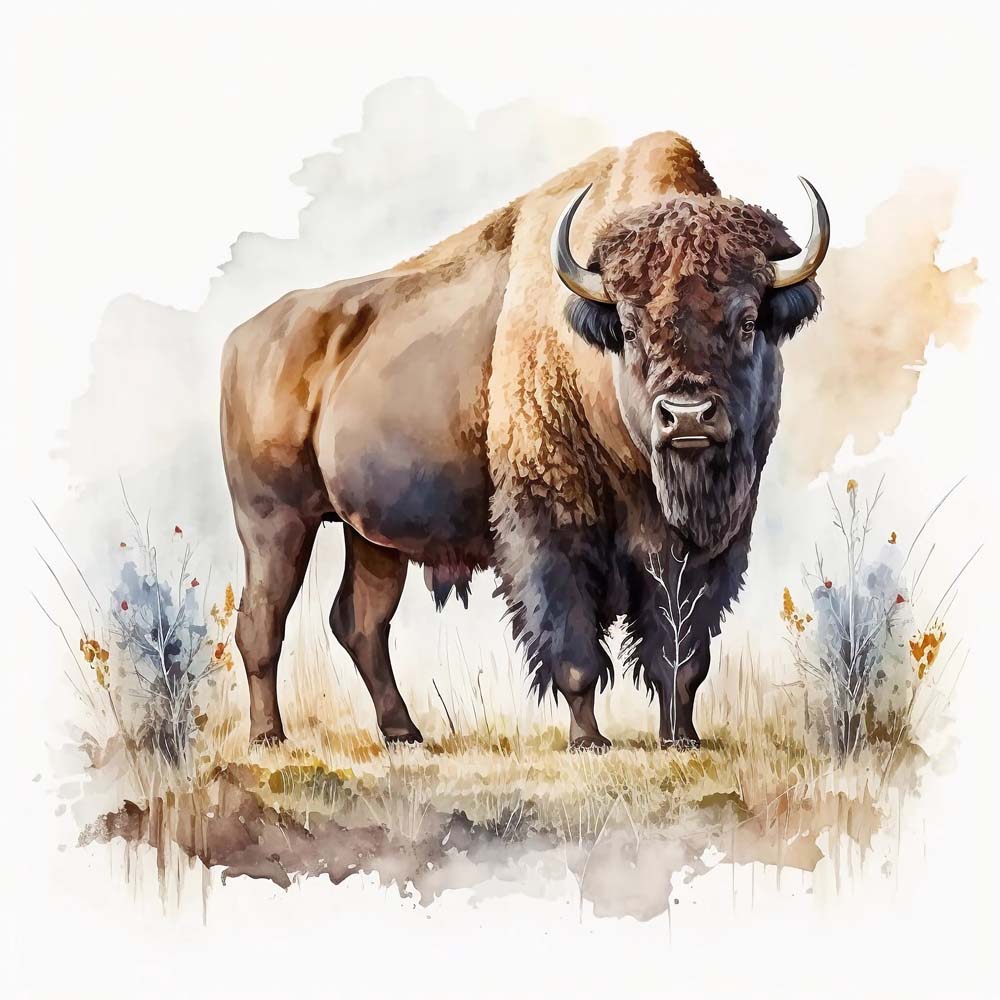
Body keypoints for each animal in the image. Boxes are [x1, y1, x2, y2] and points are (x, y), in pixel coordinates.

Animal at [220, 131, 829, 750]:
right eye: (629, 328)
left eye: (749, 321)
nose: (686, 417)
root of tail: (245, 336)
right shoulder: (548, 525)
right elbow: (576, 648)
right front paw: (589, 740)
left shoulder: (707, 547)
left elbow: (682, 654)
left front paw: (680, 738)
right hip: (274, 522)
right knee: (262, 623)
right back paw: (269, 736)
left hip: (370, 537)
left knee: (360, 621)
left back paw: (403, 731)